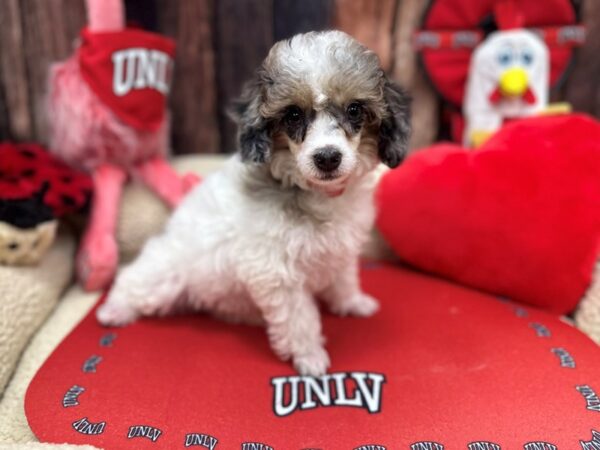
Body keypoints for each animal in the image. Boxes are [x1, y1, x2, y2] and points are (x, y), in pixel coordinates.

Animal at [96, 29, 410, 376]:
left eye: (354, 110)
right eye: (293, 115)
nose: (327, 157)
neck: (315, 194)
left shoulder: (339, 249)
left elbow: (342, 277)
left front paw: (352, 302)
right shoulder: (277, 273)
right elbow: (299, 319)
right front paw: (310, 357)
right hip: (164, 275)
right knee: (132, 280)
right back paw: (114, 310)